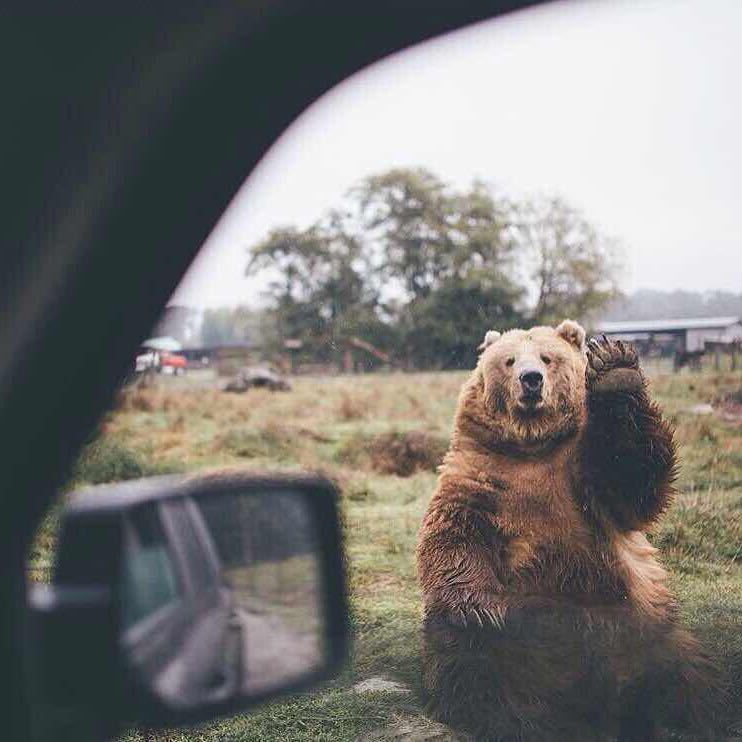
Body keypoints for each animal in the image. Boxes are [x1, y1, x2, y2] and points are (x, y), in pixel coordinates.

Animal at [418, 324, 720, 742]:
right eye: (509, 360)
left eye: (548, 358)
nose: (531, 380)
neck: (531, 447)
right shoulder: (480, 478)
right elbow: (455, 539)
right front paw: (480, 608)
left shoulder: (584, 479)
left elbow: (632, 480)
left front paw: (615, 368)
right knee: (475, 668)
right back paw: (522, 719)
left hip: (650, 631)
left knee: (682, 677)